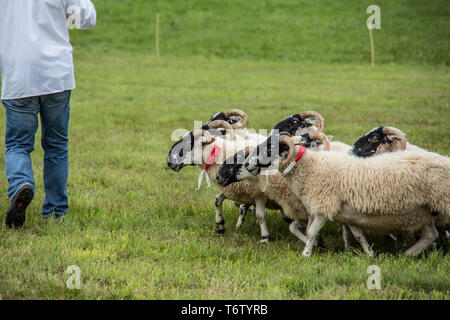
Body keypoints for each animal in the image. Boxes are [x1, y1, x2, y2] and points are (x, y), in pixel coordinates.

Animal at [220, 130, 448, 258]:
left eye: (269, 149)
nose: (247, 165)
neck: (310, 168)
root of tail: (444, 160)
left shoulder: (323, 207)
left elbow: (312, 232)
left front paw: (306, 254)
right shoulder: (333, 212)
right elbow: (353, 234)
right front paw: (369, 253)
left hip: (441, 207)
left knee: (435, 233)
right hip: (424, 213)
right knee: (431, 234)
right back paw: (408, 254)